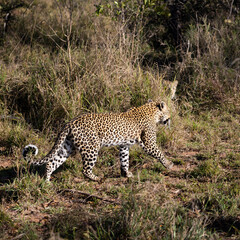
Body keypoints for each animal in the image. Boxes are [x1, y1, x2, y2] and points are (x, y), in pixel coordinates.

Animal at [23, 100, 172, 182]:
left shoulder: (123, 145)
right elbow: (159, 153)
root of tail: (70, 123)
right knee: (85, 169)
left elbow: (124, 159)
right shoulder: (149, 143)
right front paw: (169, 165)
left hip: (67, 147)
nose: (170, 118)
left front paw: (126, 173)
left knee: (51, 163)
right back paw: (97, 178)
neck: (152, 111)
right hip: (91, 147)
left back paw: (47, 183)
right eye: (168, 111)